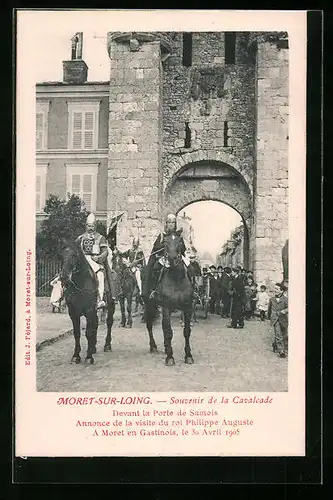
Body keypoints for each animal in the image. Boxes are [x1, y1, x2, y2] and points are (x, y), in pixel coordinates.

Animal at [143, 232, 195, 366]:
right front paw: (170, 357)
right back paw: (153, 346)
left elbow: (186, 331)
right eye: (165, 243)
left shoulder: (188, 308)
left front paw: (188, 356)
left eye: (180, 242)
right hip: (149, 305)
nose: (172, 259)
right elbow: (168, 332)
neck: (177, 278)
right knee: (150, 325)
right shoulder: (166, 308)